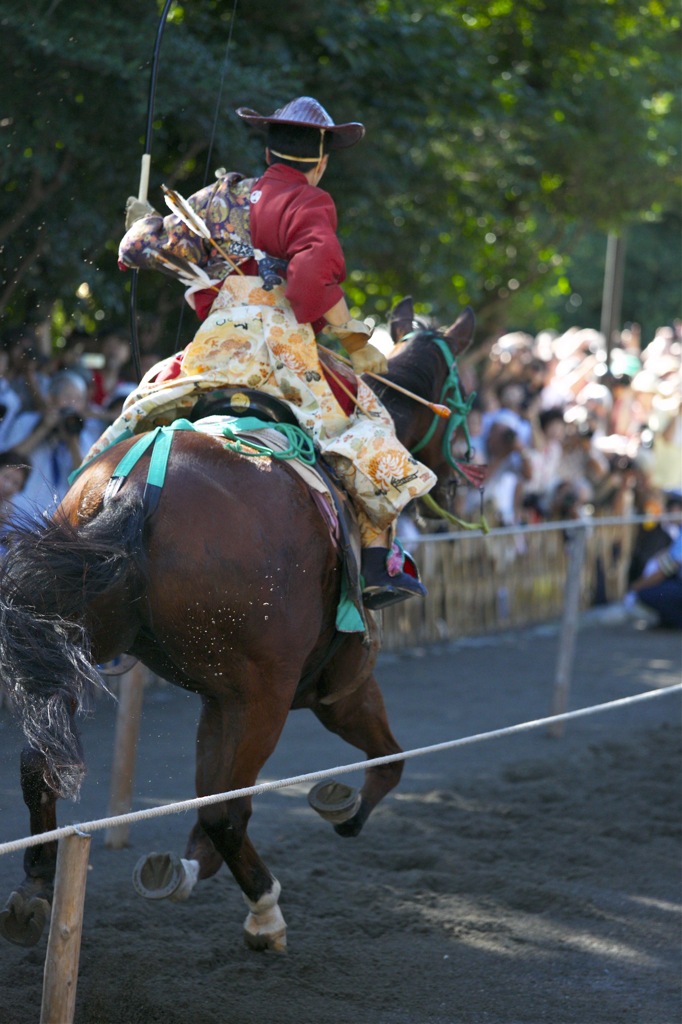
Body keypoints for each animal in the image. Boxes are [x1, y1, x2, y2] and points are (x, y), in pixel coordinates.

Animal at [0, 303, 473, 950]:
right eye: (460, 392)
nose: (459, 475)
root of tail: (136, 490)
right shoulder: (335, 686)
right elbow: (387, 761)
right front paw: (342, 810)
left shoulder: (219, 698)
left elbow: (209, 796)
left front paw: (183, 869)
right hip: (267, 694)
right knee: (228, 810)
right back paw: (265, 908)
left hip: (75, 637)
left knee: (41, 764)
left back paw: (34, 891)